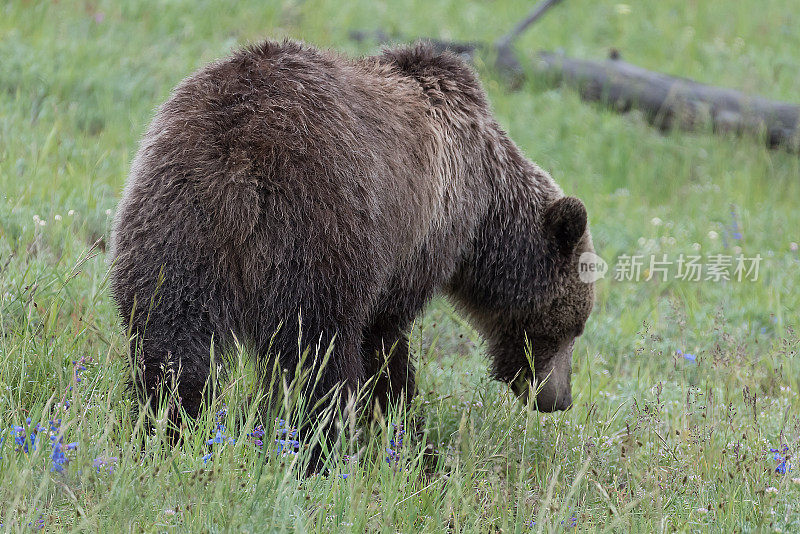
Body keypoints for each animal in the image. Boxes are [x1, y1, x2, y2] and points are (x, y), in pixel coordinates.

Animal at [108, 39, 592, 452]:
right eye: (574, 326)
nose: (560, 399)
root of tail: (236, 158)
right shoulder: (422, 230)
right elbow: (383, 334)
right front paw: (403, 421)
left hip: (172, 222)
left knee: (170, 342)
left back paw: (169, 429)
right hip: (319, 222)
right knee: (318, 351)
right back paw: (318, 445)